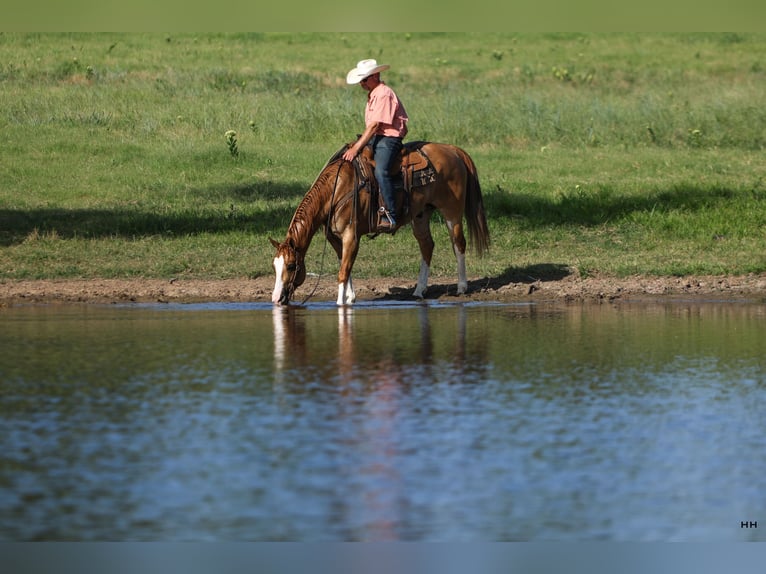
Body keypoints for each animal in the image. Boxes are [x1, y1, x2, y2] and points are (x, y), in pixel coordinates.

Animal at [272, 141, 492, 306]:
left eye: (291, 266)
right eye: (275, 265)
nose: (276, 299)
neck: (337, 188)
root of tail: (453, 150)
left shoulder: (351, 236)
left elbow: (343, 271)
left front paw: (340, 303)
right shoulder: (335, 238)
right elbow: (345, 265)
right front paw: (350, 297)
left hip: (451, 212)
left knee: (458, 243)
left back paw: (461, 287)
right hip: (421, 214)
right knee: (427, 246)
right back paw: (419, 290)